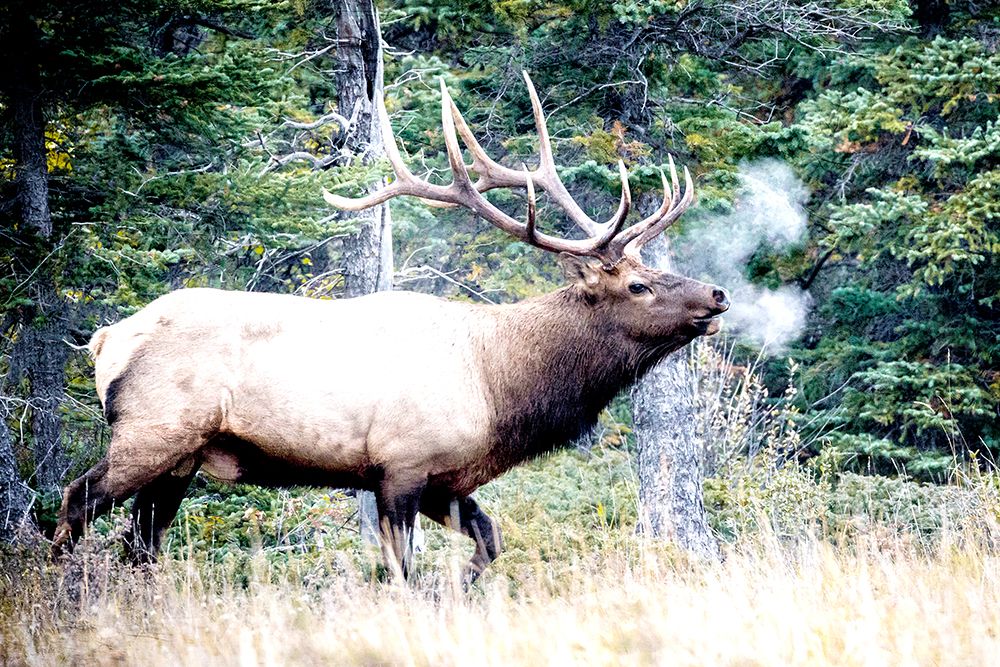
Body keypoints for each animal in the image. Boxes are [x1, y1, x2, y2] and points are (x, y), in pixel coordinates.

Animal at [53, 73, 730, 584]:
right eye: (637, 285)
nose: (717, 294)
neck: (500, 390)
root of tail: (105, 339)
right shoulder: (401, 464)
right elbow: (402, 571)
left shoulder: (444, 479)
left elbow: (490, 541)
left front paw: (464, 586)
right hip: (152, 430)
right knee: (77, 500)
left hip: (182, 459)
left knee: (141, 542)